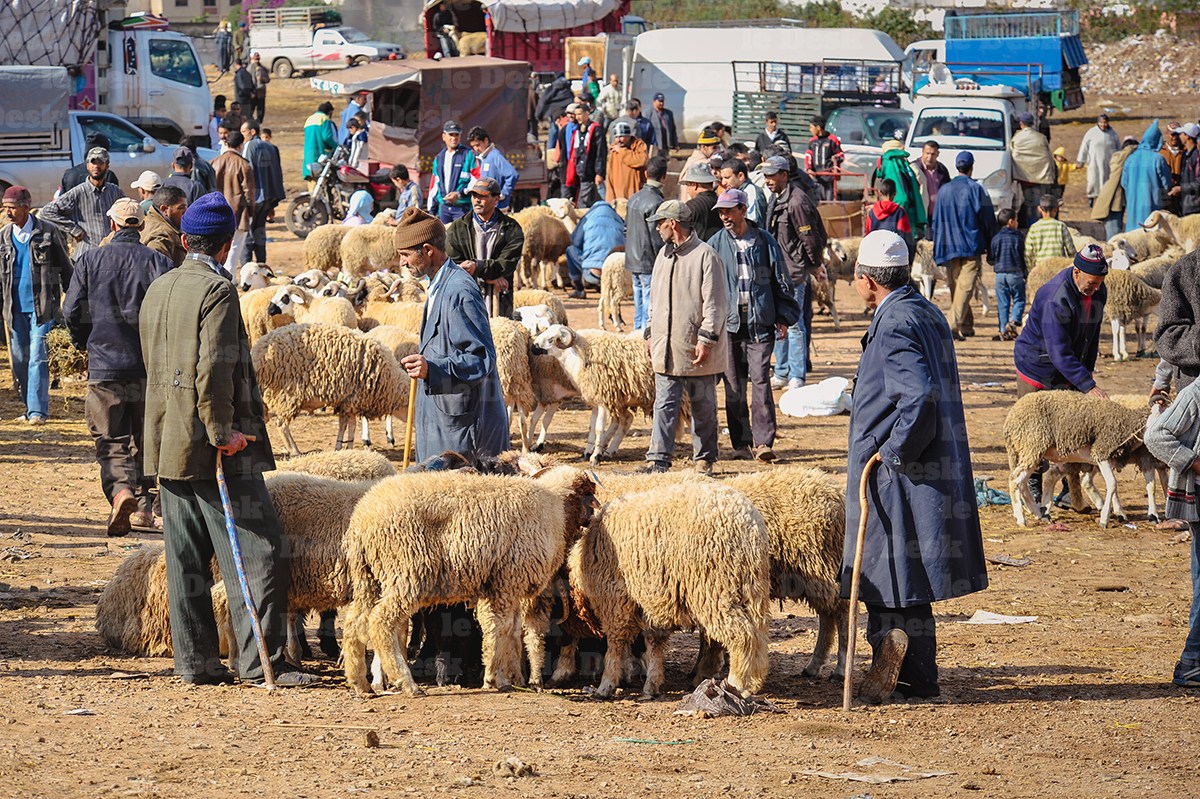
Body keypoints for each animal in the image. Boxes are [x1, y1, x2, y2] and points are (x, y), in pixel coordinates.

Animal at [250, 319, 410, 453]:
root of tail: (257, 352)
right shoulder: (353, 399)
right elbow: (352, 426)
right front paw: (349, 447)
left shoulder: (345, 401)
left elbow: (343, 425)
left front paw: (340, 446)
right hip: (286, 395)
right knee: (282, 425)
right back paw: (295, 451)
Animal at [340, 463, 597, 695]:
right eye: (586, 493)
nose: (594, 514)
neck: (553, 507)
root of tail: (362, 519)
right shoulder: (507, 582)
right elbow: (501, 629)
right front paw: (496, 677)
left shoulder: (506, 586)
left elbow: (512, 631)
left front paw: (511, 677)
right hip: (406, 572)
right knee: (381, 622)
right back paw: (406, 683)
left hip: (369, 577)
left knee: (354, 623)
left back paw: (359, 682)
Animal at [568, 479, 768, 695]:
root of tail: (746, 521)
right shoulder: (652, 601)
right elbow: (654, 643)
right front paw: (651, 684)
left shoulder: (614, 598)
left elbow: (616, 642)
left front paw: (607, 683)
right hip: (752, 587)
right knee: (758, 636)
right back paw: (753, 681)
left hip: (715, 588)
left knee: (742, 635)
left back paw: (737, 682)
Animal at [1008, 388, 1156, 525]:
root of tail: (1011, 418)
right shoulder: (1102, 451)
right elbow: (1113, 483)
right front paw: (1106, 519)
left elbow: (1150, 485)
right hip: (1033, 446)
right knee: (1015, 480)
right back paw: (1022, 518)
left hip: (1040, 454)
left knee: (1028, 481)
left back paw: (1040, 513)